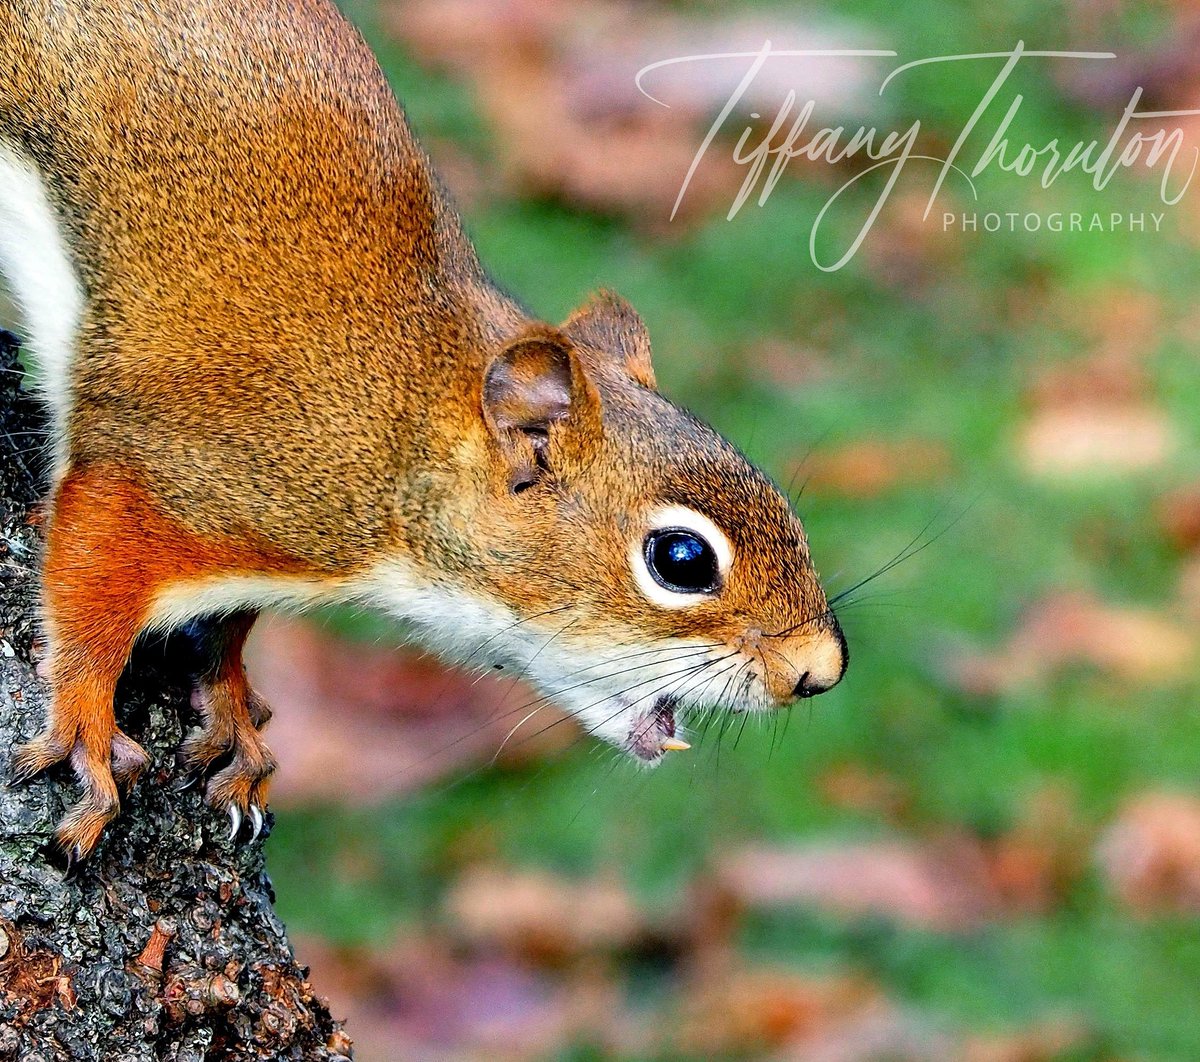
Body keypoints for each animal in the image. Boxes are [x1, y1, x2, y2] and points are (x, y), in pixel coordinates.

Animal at [0, 0, 847, 862]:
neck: (403, 437)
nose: (818, 672)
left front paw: (232, 707)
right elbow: (87, 595)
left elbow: (228, 627)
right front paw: (87, 728)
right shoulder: (177, 472)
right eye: (681, 560)